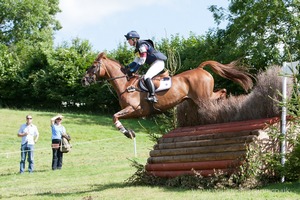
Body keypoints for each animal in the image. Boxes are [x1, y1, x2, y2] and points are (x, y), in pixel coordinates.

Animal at [81, 52, 253, 139]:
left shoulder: (134, 109)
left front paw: (127, 133)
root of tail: (200, 68)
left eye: (94, 66)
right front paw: (130, 132)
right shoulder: (133, 113)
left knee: (222, 92)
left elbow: (114, 116)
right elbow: (116, 117)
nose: (83, 80)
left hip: (203, 98)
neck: (125, 84)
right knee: (220, 92)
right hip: (195, 100)